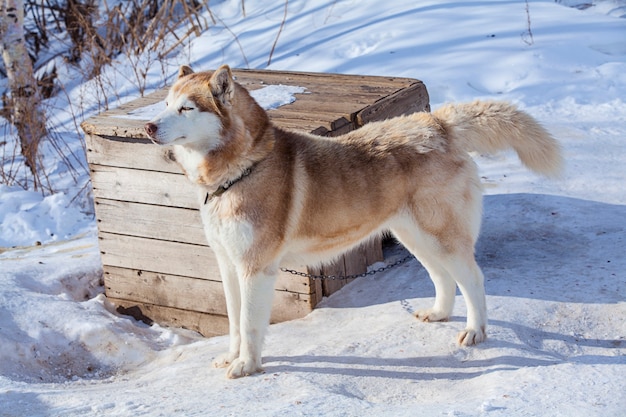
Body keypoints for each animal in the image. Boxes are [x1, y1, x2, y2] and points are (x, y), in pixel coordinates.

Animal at [145, 64, 560, 376]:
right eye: (165, 103)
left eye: (186, 108)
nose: (148, 126)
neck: (242, 171)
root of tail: (436, 123)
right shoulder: (228, 267)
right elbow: (233, 322)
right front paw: (232, 357)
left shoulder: (255, 269)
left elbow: (248, 324)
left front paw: (247, 365)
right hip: (415, 238)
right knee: (443, 278)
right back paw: (439, 313)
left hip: (440, 236)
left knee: (473, 280)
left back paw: (475, 331)